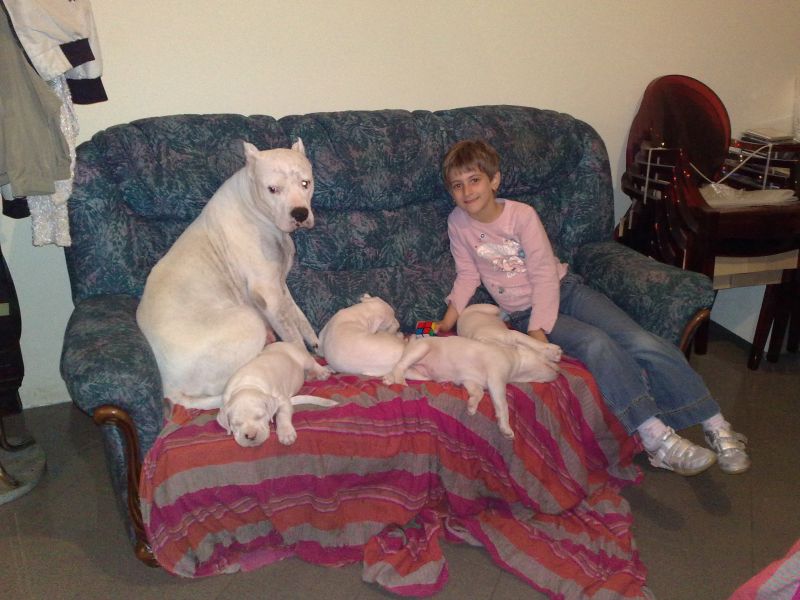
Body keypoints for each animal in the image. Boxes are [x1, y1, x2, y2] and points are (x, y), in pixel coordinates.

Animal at [136, 139, 331, 410]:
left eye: (306, 183)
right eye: (273, 189)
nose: (300, 213)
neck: (253, 205)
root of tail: (170, 387)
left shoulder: (279, 286)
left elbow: (297, 315)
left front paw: (313, 341)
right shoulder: (269, 295)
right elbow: (293, 339)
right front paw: (312, 366)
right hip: (247, 320)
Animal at [382, 335, 560, 439]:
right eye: (546, 359)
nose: (560, 371)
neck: (516, 359)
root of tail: (408, 345)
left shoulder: (471, 381)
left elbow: (478, 393)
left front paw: (471, 407)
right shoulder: (496, 379)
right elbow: (503, 405)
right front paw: (506, 429)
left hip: (421, 374)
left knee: (400, 367)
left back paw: (389, 379)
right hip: (421, 349)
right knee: (401, 365)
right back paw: (399, 381)